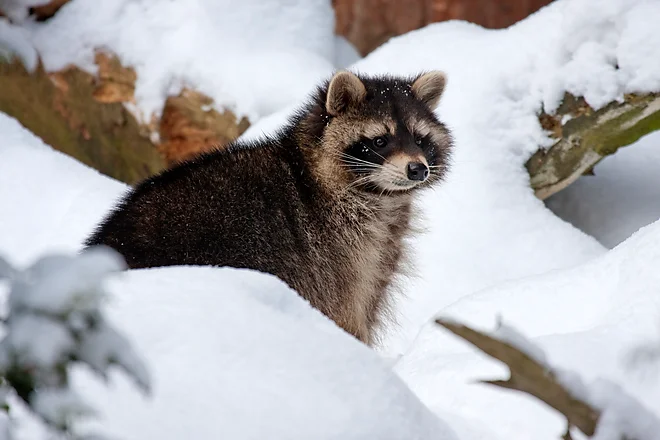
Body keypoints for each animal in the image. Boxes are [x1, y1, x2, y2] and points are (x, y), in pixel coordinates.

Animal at [85, 70, 453, 346]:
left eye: (420, 140)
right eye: (380, 141)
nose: (418, 169)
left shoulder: (379, 256)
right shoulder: (339, 255)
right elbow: (346, 315)